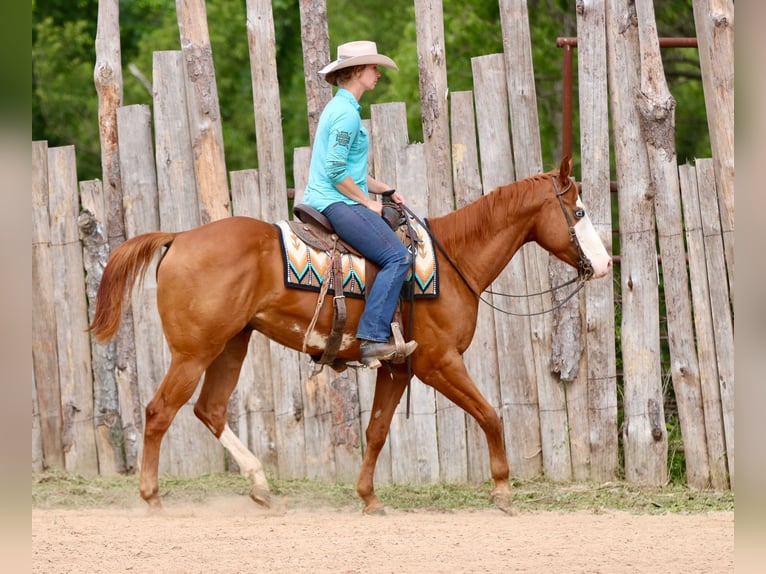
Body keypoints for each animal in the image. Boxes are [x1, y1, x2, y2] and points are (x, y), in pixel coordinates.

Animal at [89, 156, 612, 514]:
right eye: (579, 211)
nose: (606, 264)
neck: (451, 261)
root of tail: (178, 238)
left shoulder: (399, 369)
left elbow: (376, 431)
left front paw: (368, 498)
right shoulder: (439, 363)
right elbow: (490, 415)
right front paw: (503, 490)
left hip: (232, 344)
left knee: (209, 410)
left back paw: (261, 487)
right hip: (193, 352)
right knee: (160, 411)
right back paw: (153, 498)